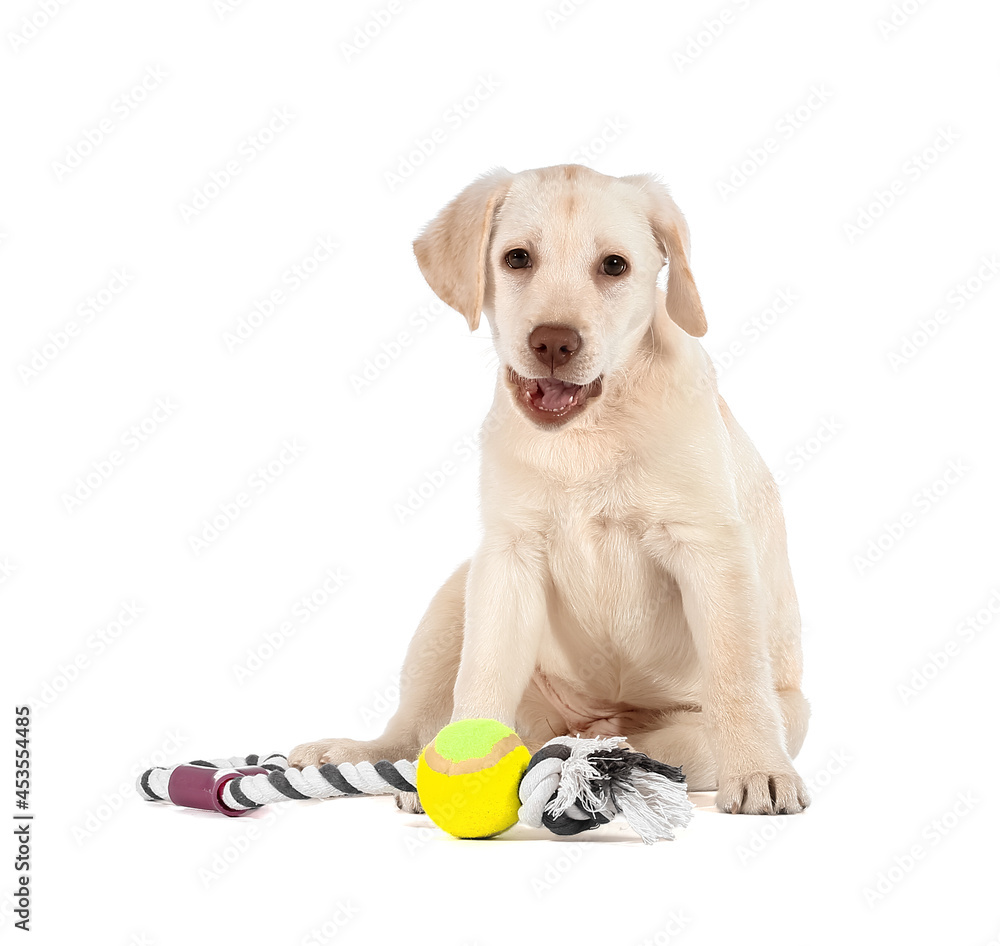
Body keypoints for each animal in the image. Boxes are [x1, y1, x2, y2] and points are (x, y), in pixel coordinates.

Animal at [292, 162, 808, 812]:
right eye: (517, 258)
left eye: (614, 266)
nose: (554, 342)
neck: (585, 434)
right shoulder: (509, 555)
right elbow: (483, 672)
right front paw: (464, 769)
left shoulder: (710, 546)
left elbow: (736, 676)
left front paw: (760, 770)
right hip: (455, 599)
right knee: (417, 723)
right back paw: (371, 755)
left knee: (675, 743)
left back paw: (600, 757)